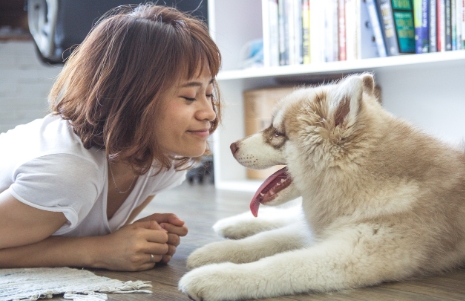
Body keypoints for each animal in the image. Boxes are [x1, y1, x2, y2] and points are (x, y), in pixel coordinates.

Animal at [178, 73, 464, 300]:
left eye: (277, 133)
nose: (231, 146)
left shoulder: (350, 254)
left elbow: (279, 264)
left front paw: (214, 277)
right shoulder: (324, 230)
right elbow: (265, 240)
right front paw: (214, 252)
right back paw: (232, 224)